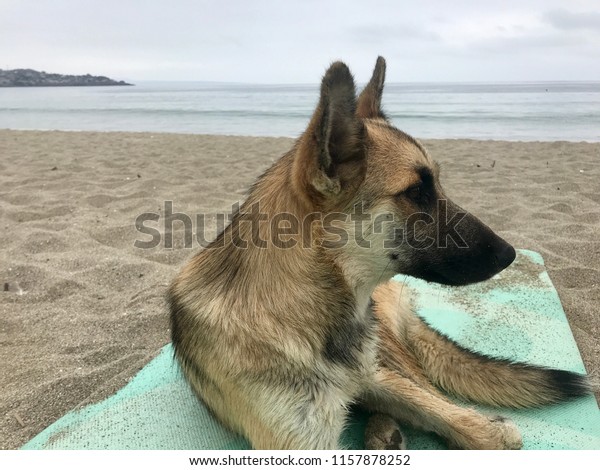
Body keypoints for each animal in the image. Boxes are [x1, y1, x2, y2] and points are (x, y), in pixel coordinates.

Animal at [168, 57, 592, 450]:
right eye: (416, 192)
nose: (509, 254)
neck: (299, 305)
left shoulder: (373, 374)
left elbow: (435, 407)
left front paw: (484, 429)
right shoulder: (301, 440)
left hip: (384, 347)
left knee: (425, 388)